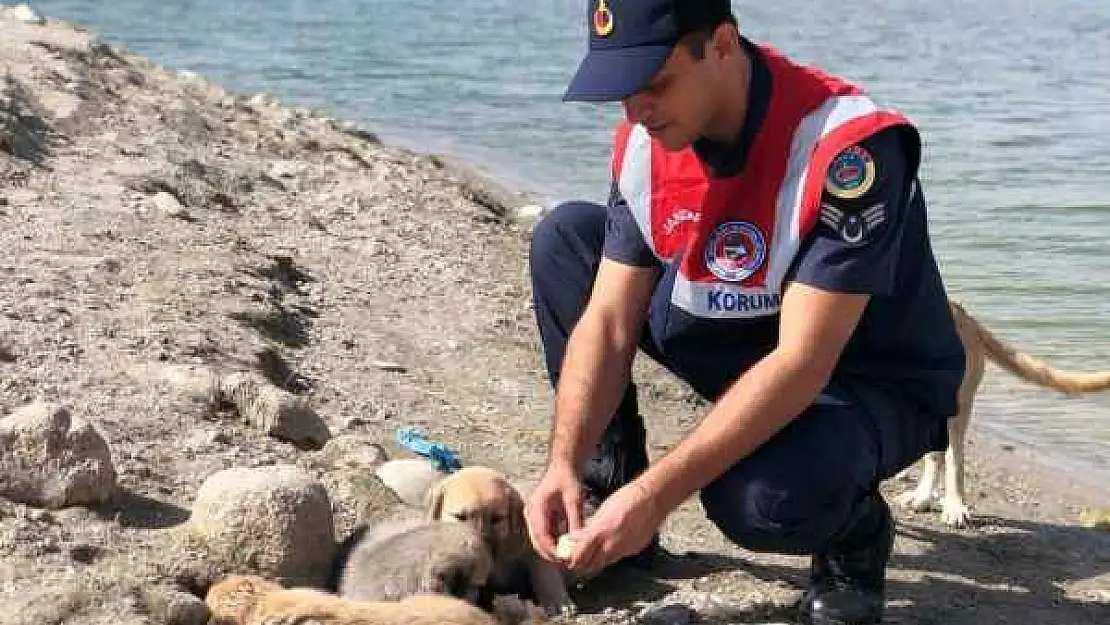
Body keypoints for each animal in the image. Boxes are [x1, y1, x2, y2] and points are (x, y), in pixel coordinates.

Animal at [896, 299, 1110, 526]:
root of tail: (963, 313)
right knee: (934, 455)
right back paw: (922, 497)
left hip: (955, 408)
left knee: (954, 458)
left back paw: (953, 505)